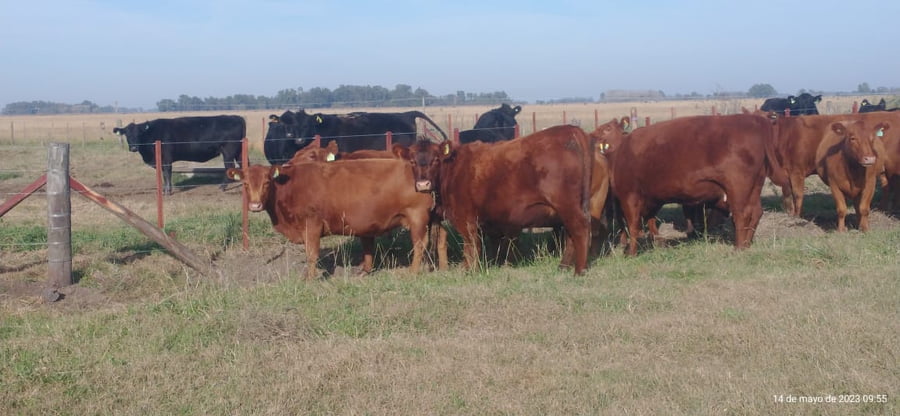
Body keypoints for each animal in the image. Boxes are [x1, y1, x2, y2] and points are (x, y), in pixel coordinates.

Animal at [113, 115, 246, 195]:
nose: (134, 148)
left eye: (139, 134)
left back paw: (222, 187)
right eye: (127, 135)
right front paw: (164, 189)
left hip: (228, 152)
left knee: (229, 167)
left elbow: (167, 174)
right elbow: (164, 175)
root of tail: (236, 117)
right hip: (238, 151)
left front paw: (167, 191)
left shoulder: (167, 158)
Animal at [226, 159, 437, 278]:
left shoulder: (312, 224)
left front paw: (309, 279)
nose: (254, 205)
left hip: (417, 217)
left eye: (267, 182)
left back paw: (412, 272)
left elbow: (311, 255)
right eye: (245, 183)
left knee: (420, 244)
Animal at [393, 124, 594, 274]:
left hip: (567, 205)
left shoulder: (465, 217)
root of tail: (570, 130)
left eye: (436, 160)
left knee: (580, 229)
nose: (423, 184)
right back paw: (563, 266)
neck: (454, 169)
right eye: (412, 161)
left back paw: (579, 270)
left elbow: (471, 245)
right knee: (571, 234)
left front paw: (470, 270)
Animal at [593, 114, 785, 256]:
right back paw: (746, 244)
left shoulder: (629, 196)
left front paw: (631, 252)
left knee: (742, 214)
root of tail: (754, 119)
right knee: (756, 212)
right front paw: (656, 244)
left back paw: (738, 247)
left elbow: (633, 226)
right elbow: (649, 221)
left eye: (607, 128)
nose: (593, 137)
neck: (620, 154)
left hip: (738, 187)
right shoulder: (651, 199)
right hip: (755, 186)